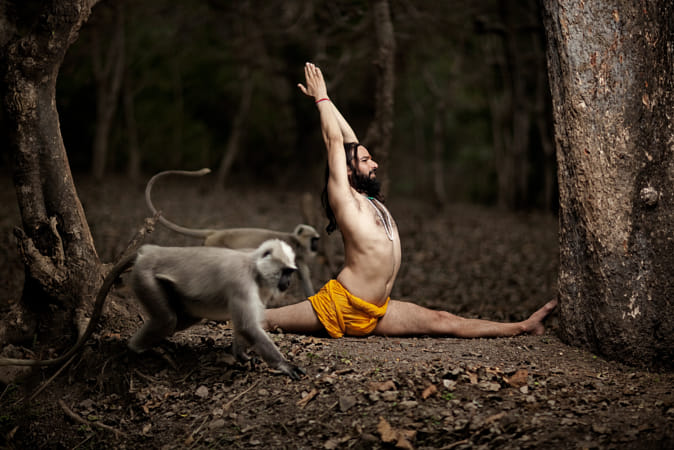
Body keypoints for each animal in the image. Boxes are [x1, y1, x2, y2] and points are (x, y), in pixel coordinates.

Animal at [0, 239, 304, 380]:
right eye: (286, 272)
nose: (288, 283)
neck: (254, 266)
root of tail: (152, 250)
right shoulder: (242, 282)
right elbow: (247, 326)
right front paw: (285, 365)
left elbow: (244, 327)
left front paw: (240, 354)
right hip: (144, 277)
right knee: (168, 320)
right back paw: (137, 349)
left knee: (185, 318)